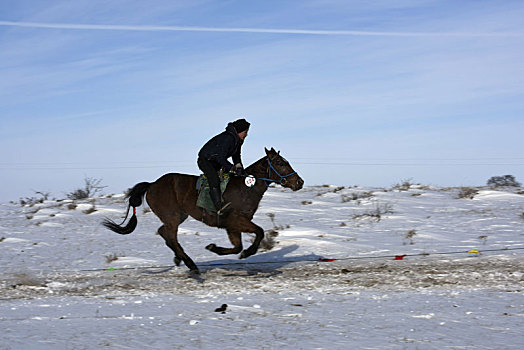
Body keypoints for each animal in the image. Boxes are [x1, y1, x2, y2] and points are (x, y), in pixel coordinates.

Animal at [102, 146, 302, 274]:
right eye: (280, 162)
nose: (299, 182)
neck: (245, 187)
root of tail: (152, 184)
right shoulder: (236, 220)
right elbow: (258, 233)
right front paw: (247, 252)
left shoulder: (231, 225)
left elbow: (237, 246)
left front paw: (215, 248)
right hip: (172, 216)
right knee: (171, 236)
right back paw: (190, 264)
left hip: (178, 216)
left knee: (164, 233)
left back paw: (180, 259)